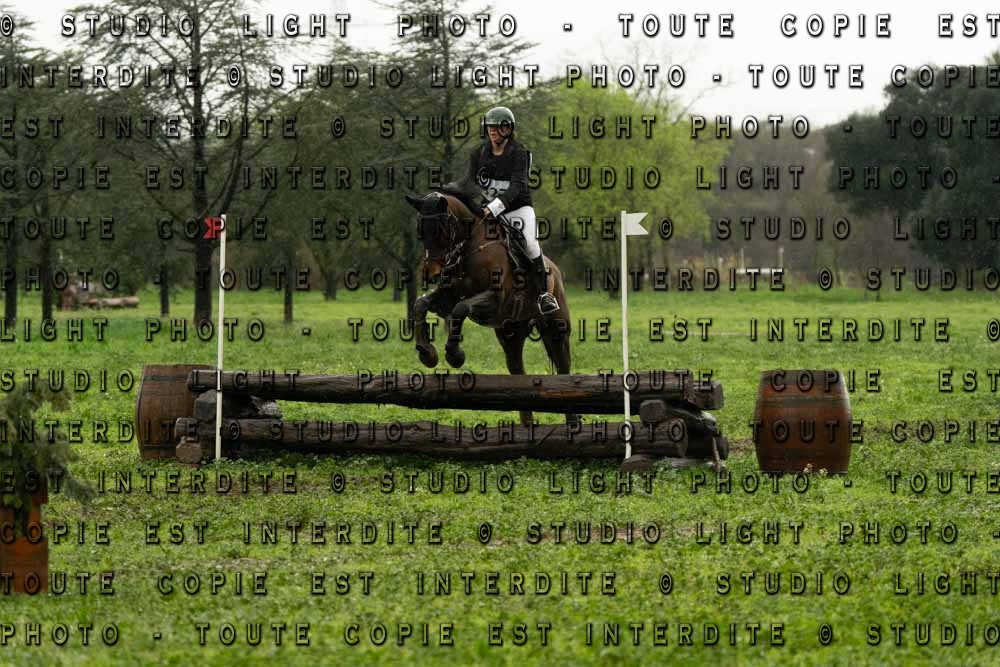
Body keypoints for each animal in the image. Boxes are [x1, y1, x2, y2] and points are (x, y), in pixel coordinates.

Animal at [404, 191, 578, 427]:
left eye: (442, 229)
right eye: (420, 230)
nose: (431, 274)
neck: (470, 249)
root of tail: (556, 271)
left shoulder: (493, 300)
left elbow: (460, 309)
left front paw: (455, 355)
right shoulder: (447, 296)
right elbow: (420, 304)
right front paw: (427, 353)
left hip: (557, 331)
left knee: (563, 368)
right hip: (510, 335)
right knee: (517, 370)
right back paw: (527, 424)